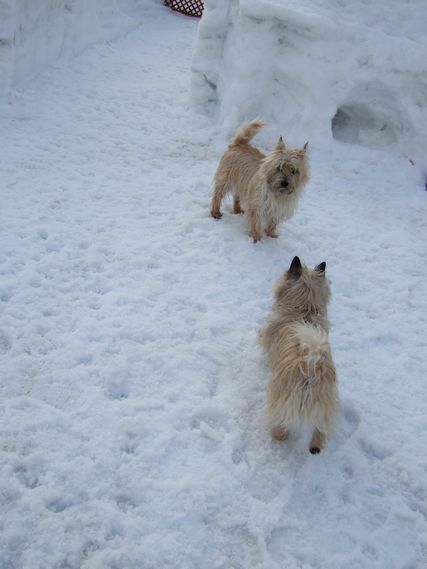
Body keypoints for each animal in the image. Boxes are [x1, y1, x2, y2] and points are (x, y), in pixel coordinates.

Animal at [260, 256, 340, 452]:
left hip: (281, 399)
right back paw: (315, 447)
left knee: (281, 425)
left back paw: (278, 435)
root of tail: (311, 367)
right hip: (326, 405)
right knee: (321, 429)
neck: (304, 310)